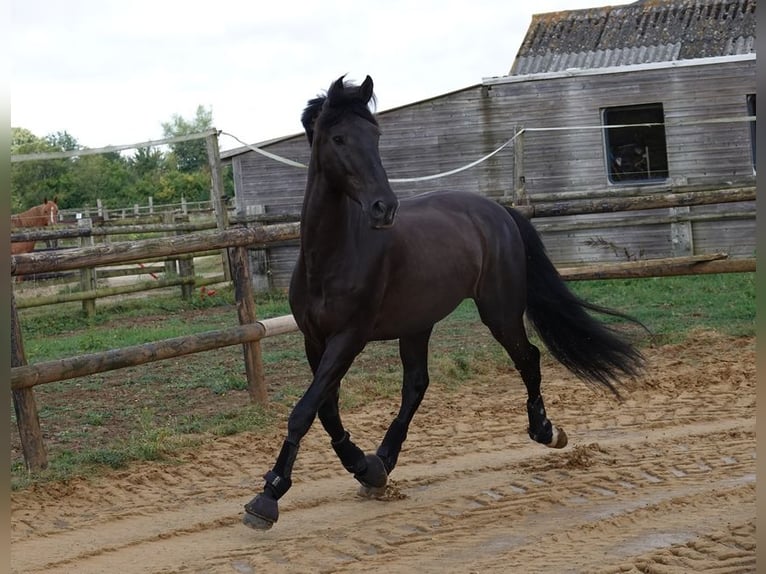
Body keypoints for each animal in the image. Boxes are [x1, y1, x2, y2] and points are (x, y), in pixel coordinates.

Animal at [243, 75, 644, 532]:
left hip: (499, 312)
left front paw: (268, 497)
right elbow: (324, 409)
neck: (331, 256)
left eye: (376, 136)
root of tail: (498, 211)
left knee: (529, 358)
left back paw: (546, 431)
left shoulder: (349, 338)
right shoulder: (314, 340)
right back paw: (383, 462)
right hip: (419, 323)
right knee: (417, 385)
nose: (385, 208)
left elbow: (305, 410)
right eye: (339, 138)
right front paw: (363, 468)